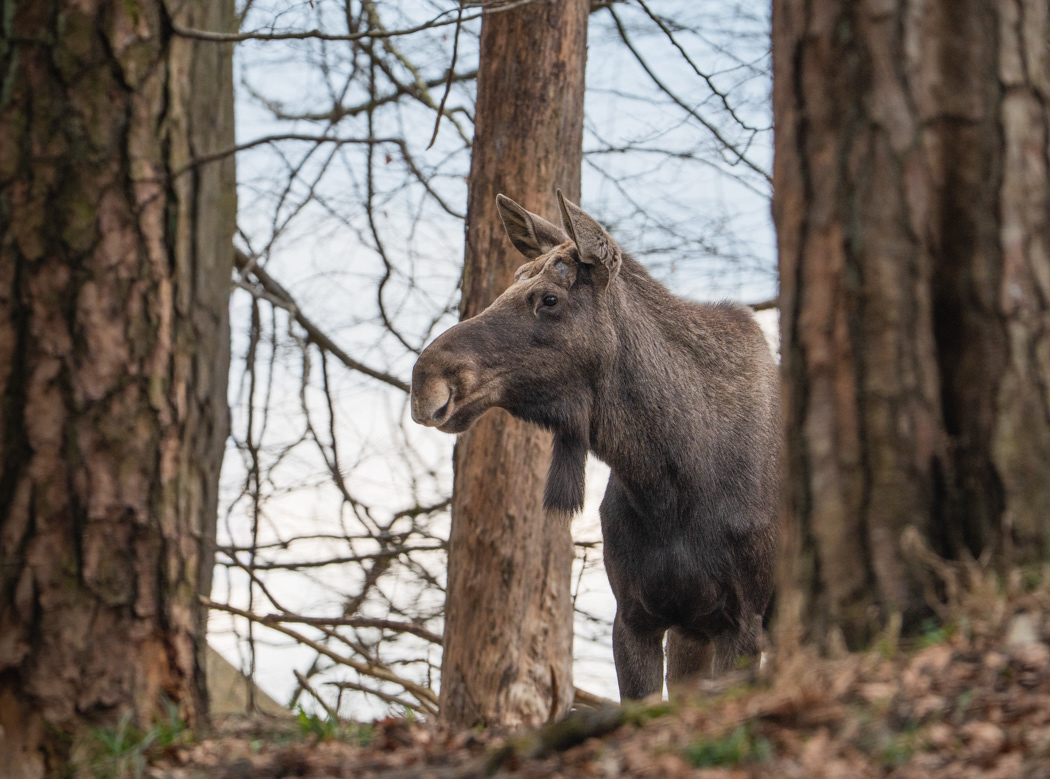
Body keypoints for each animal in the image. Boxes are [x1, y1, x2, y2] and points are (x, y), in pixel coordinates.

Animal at [411, 192, 780, 700]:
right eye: (512, 282)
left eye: (550, 298)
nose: (425, 379)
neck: (669, 481)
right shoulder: (636, 617)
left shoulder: (742, 619)